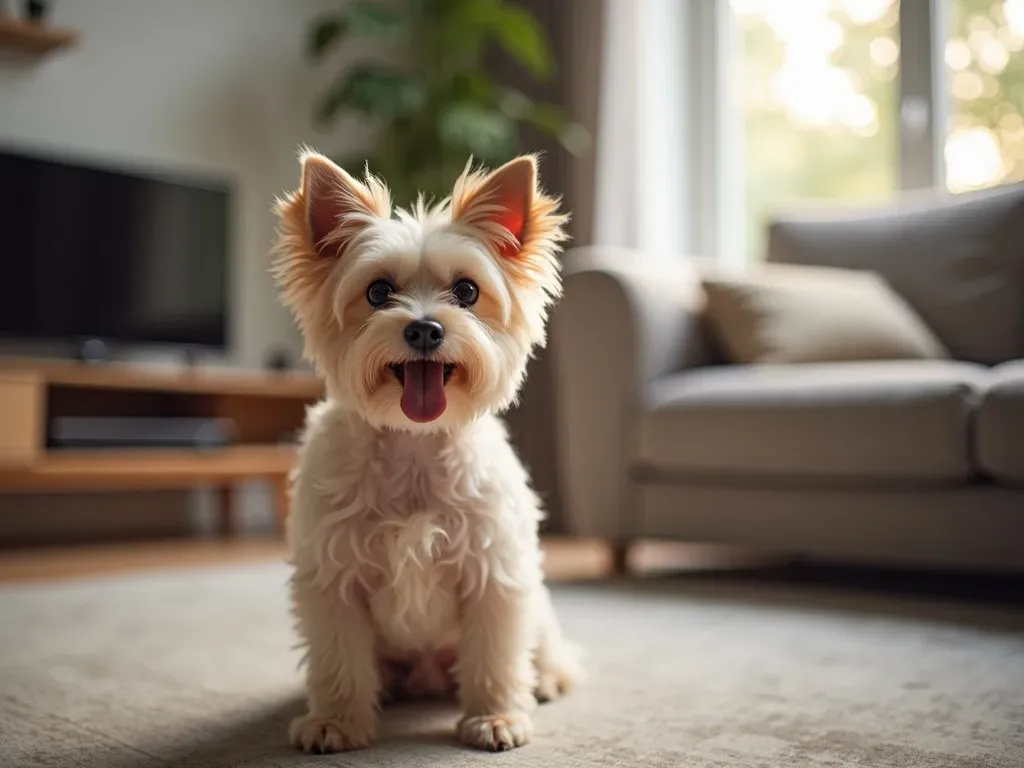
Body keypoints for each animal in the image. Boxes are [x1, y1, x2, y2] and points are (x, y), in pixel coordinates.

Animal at [272, 148, 585, 753]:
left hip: (534, 603)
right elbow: (339, 660)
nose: (424, 330)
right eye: (377, 292)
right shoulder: (333, 578)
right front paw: (336, 721)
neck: (412, 446)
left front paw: (496, 717)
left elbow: (494, 657)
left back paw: (548, 679)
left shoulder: (495, 573)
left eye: (467, 291)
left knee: (545, 646)